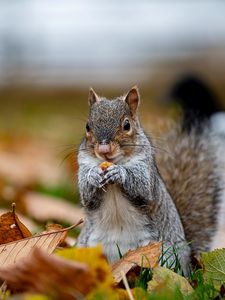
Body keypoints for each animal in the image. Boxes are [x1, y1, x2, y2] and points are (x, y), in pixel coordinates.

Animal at [76, 85, 224, 274]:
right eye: (88, 126)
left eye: (126, 125)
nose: (103, 149)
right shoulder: (84, 166)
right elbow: (86, 195)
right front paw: (93, 175)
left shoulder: (146, 171)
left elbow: (142, 187)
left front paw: (119, 173)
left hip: (165, 255)